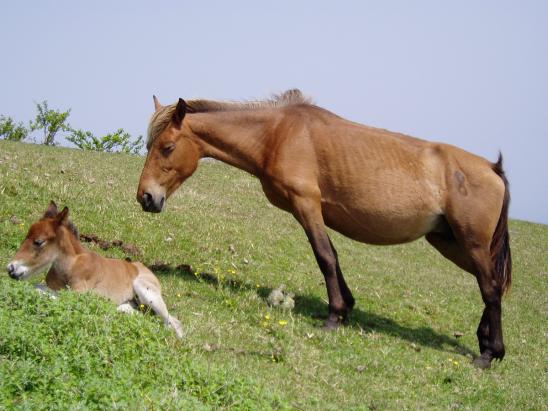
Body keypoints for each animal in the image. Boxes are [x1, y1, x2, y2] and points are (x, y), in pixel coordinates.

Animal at [136, 90, 510, 370]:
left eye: (167, 147)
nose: (146, 197)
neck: (276, 134)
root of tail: (492, 169)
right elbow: (334, 257)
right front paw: (346, 308)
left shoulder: (306, 205)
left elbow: (325, 256)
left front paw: (334, 316)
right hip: (450, 242)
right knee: (490, 286)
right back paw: (485, 341)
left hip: (470, 242)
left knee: (490, 287)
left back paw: (489, 353)